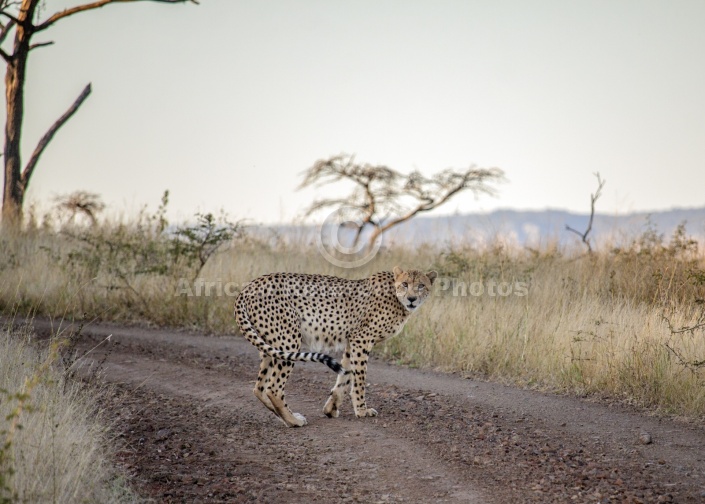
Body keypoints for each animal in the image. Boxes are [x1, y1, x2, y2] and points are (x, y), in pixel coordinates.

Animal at [235, 266, 434, 428]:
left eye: (421, 286)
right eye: (405, 284)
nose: (412, 299)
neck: (396, 295)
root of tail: (249, 286)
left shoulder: (352, 341)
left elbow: (345, 376)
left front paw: (331, 408)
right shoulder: (362, 339)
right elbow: (359, 379)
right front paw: (362, 410)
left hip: (271, 346)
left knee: (259, 387)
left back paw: (287, 417)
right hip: (288, 340)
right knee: (273, 388)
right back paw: (294, 421)